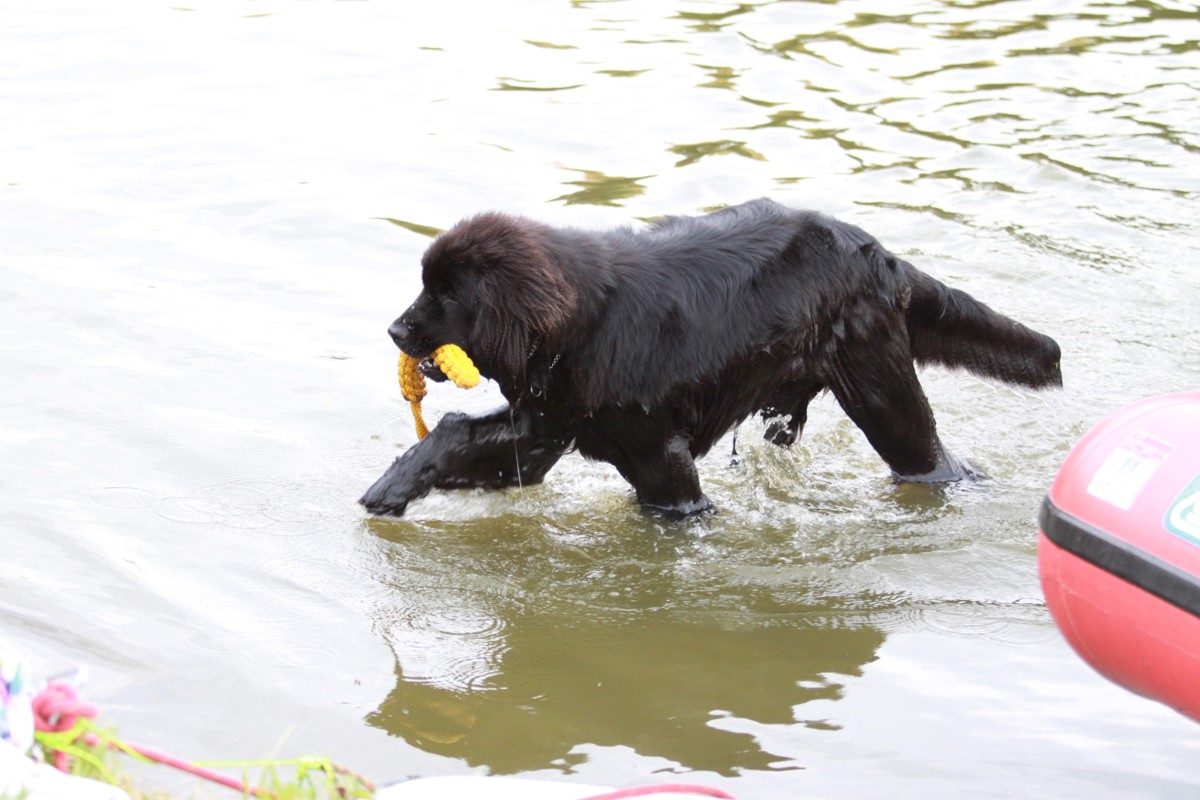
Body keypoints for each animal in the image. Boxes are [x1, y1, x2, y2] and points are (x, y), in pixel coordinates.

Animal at [361, 198, 1061, 518]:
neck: (580, 327)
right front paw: (391, 489)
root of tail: (879, 255)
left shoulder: (659, 458)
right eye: (426, 285)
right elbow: (455, 435)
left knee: (932, 458)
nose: (394, 330)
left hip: (882, 392)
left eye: (447, 295)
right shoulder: (542, 427)